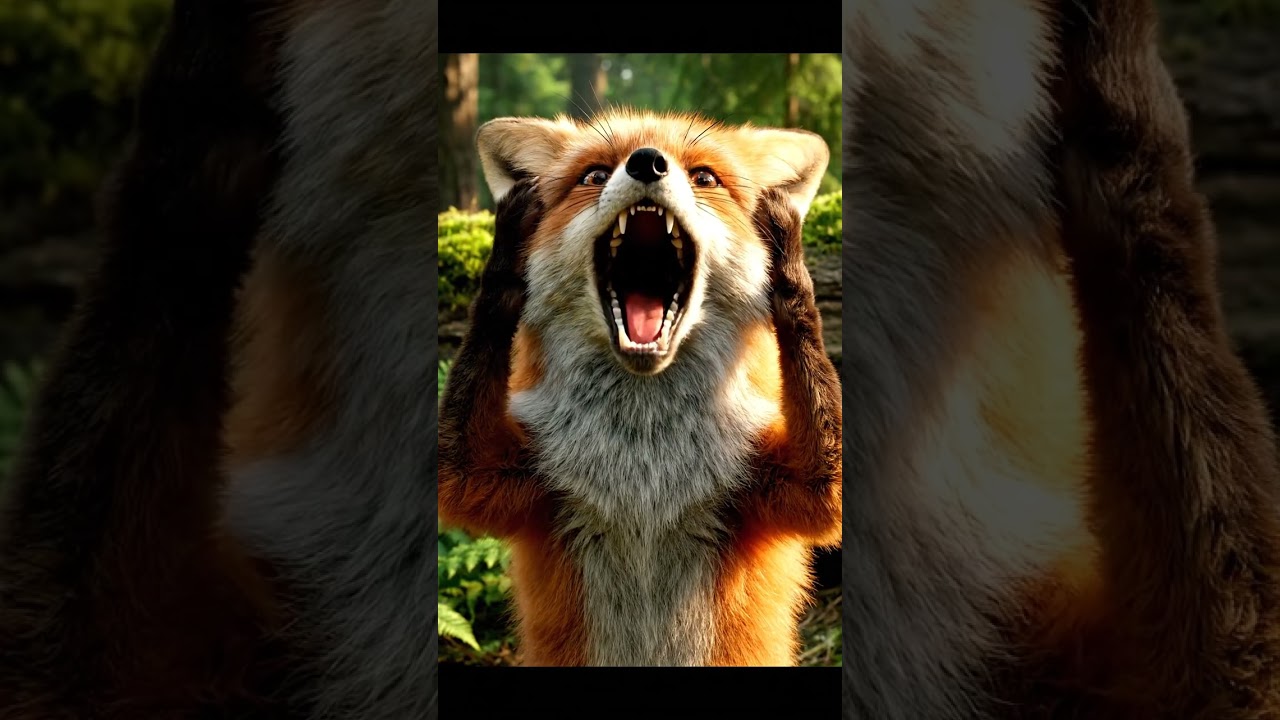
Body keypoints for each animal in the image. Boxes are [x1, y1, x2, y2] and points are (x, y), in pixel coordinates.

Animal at [438, 109, 842, 666]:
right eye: (593, 175)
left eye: (705, 178)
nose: (647, 162)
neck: (645, 461)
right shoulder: (502, 475)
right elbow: (459, 472)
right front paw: (508, 246)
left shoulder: (786, 484)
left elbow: (827, 487)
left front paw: (786, 256)